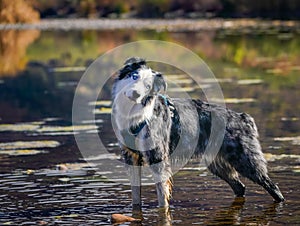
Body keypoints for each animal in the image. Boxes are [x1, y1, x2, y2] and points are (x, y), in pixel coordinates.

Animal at [111, 57, 284, 210]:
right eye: (134, 76)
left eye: (148, 86)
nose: (135, 93)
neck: (135, 116)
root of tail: (243, 118)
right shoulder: (131, 158)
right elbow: (136, 197)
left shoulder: (158, 158)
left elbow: (162, 197)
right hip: (217, 163)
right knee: (239, 187)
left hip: (245, 160)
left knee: (273, 187)